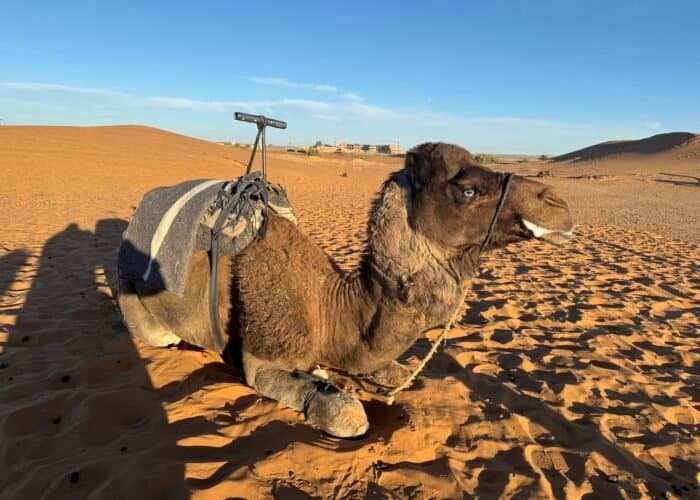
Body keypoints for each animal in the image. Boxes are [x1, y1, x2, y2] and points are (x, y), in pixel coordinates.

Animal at [118, 142, 573, 438]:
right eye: (468, 189)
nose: (558, 203)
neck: (329, 307)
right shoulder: (262, 358)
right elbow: (347, 414)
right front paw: (327, 386)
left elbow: (396, 370)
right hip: (133, 297)